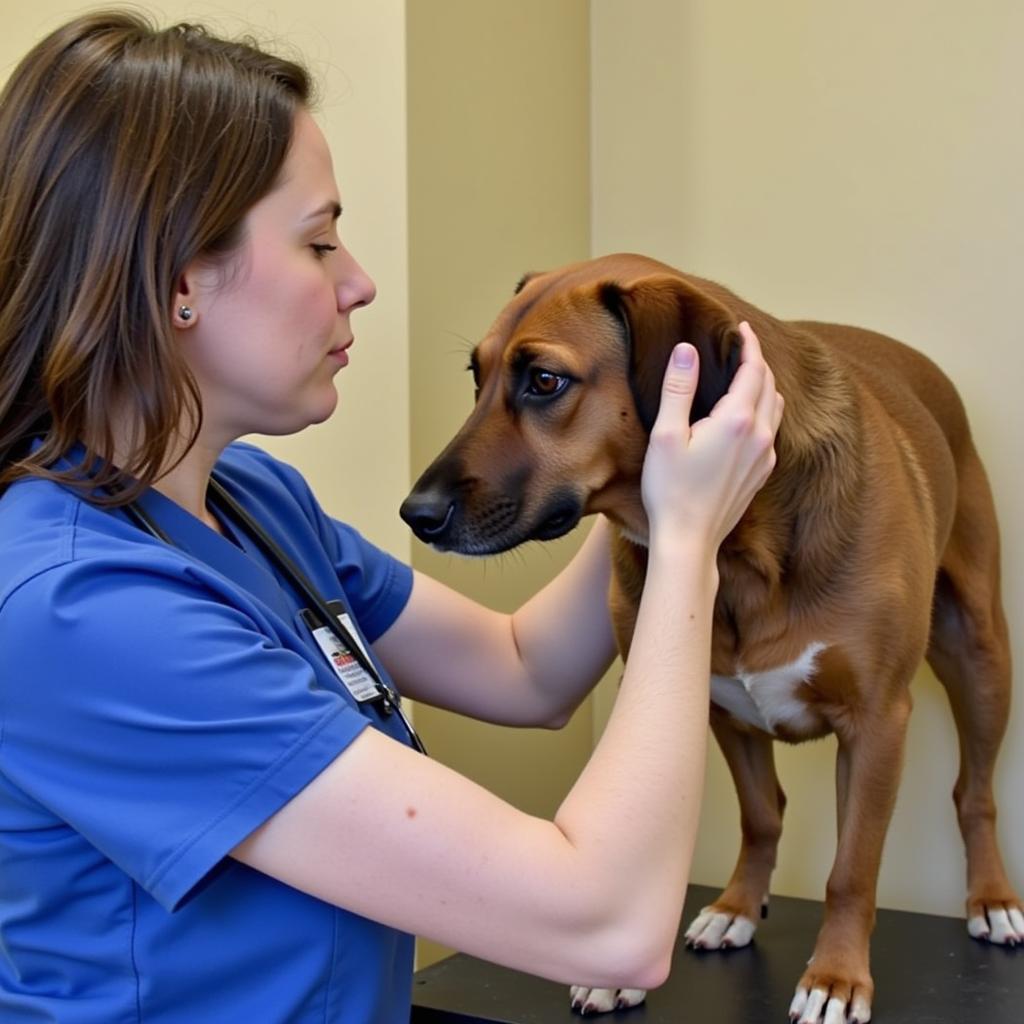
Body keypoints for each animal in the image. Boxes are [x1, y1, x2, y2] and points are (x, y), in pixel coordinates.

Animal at [397, 251, 1015, 1019]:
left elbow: (851, 869)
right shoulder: (712, 704)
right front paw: (719, 920)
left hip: (981, 656)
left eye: (544, 380)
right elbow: (759, 818)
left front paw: (837, 976)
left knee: (975, 792)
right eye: (477, 378)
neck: (739, 546)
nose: (415, 514)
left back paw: (991, 898)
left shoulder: (877, 723)